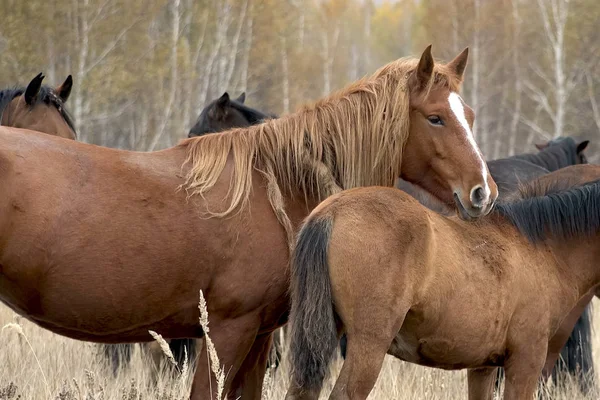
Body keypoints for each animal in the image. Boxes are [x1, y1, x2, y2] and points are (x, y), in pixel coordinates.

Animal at [0, 45, 496, 398]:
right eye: (435, 118)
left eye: (470, 115)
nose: (482, 192)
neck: (271, 186)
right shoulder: (224, 332)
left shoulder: (258, 337)